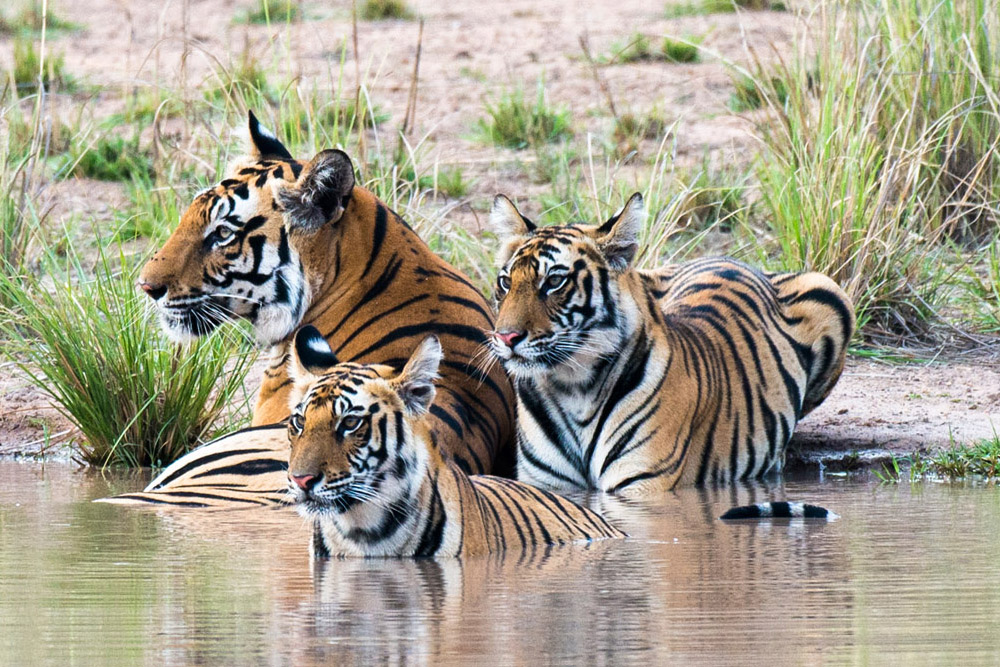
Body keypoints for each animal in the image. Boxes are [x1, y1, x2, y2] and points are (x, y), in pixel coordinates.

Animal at [487, 192, 855, 494]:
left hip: (831, 290)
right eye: (505, 282)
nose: (505, 336)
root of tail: (730, 258)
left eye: (554, 281)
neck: (572, 386)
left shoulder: (642, 484)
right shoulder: (546, 486)